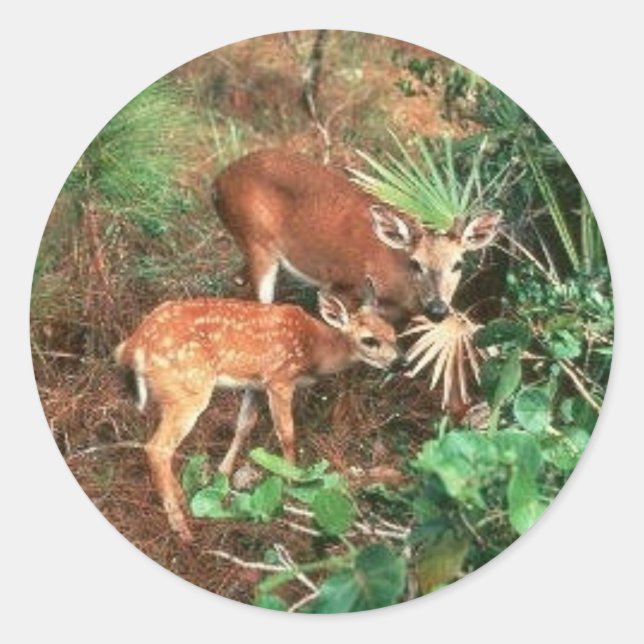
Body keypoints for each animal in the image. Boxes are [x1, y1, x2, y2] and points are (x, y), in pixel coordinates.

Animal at [114, 279, 402, 541]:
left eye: (393, 332)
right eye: (369, 340)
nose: (401, 362)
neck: (315, 350)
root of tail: (132, 347)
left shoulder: (256, 384)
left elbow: (244, 424)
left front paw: (222, 474)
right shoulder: (280, 379)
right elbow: (287, 434)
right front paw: (291, 482)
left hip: (173, 395)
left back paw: (184, 500)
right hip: (190, 390)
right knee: (158, 447)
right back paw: (181, 527)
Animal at [213, 149, 501, 325]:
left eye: (458, 264)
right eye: (415, 263)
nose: (438, 310)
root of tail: (218, 181)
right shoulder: (341, 285)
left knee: (237, 280)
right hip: (257, 241)